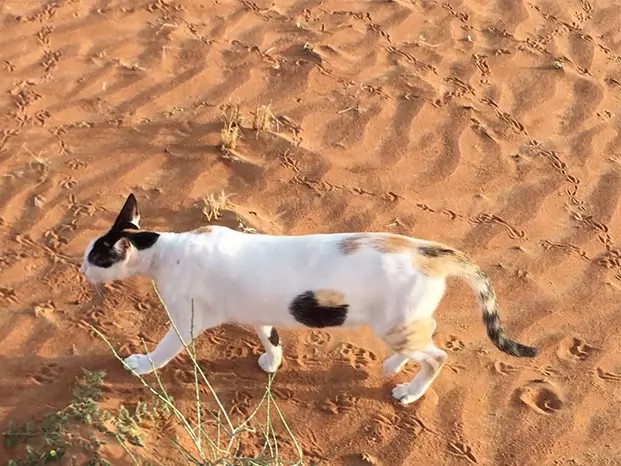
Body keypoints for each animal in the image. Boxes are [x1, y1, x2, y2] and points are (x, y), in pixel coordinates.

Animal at [81, 193, 536, 404]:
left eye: (97, 256)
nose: (81, 268)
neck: (166, 250)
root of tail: (428, 251)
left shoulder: (185, 321)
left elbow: (162, 350)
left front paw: (141, 365)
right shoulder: (260, 314)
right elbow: (271, 339)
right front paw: (272, 363)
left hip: (395, 324)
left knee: (438, 356)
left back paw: (409, 391)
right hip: (401, 322)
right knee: (429, 334)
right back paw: (393, 364)